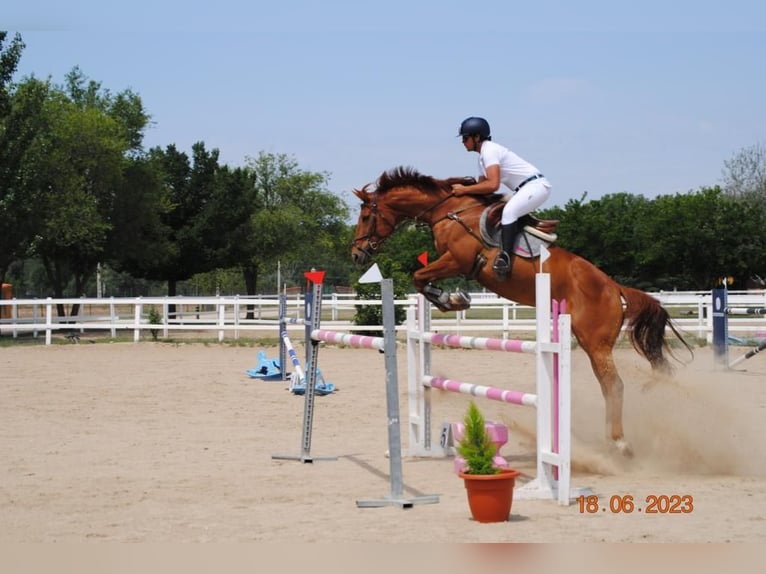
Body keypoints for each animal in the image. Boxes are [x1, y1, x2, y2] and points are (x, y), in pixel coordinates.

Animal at [354, 166, 696, 460]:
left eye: (367, 215)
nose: (358, 255)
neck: (449, 211)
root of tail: (614, 287)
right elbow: (421, 278)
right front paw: (449, 299)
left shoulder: (458, 260)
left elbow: (419, 276)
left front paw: (452, 299)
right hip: (588, 340)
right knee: (606, 385)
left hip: (595, 342)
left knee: (614, 386)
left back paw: (620, 443)